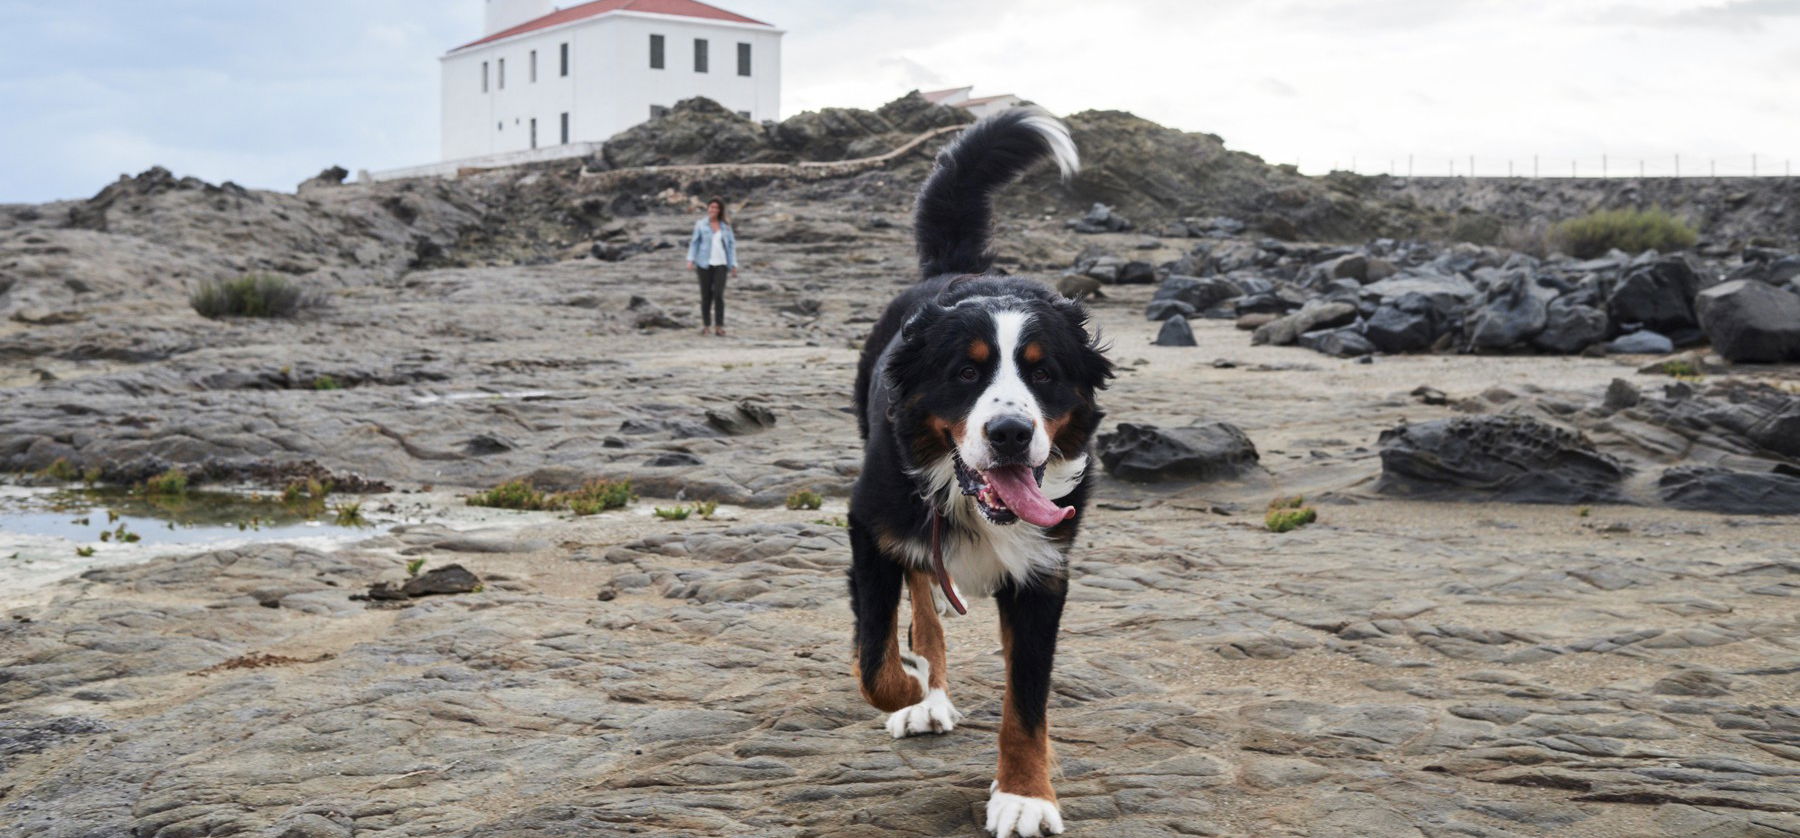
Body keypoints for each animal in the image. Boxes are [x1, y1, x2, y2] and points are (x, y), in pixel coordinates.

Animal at [846, 107, 1108, 834]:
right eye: (966, 372)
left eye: (1044, 373)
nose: (1011, 434)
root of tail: (957, 270)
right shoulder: (869, 530)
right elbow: (876, 659)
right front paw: (911, 691)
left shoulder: (1044, 575)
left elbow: (1027, 702)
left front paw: (1025, 794)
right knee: (922, 602)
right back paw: (928, 691)